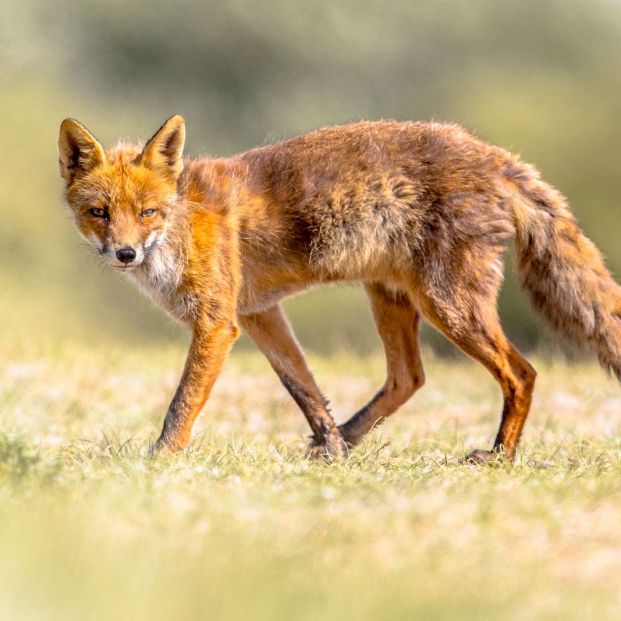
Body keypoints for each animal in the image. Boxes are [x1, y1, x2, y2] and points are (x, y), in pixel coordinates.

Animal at [58, 115, 620, 460]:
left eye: (148, 213)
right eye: (100, 213)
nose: (125, 254)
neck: (181, 223)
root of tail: (494, 154)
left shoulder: (218, 324)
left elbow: (183, 402)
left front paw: (160, 458)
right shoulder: (259, 314)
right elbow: (303, 388)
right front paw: (329, 443)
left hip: (449, 306)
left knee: (522, 373)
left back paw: (500, 456)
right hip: (391, 295)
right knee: (409, 378)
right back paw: (348, 439)